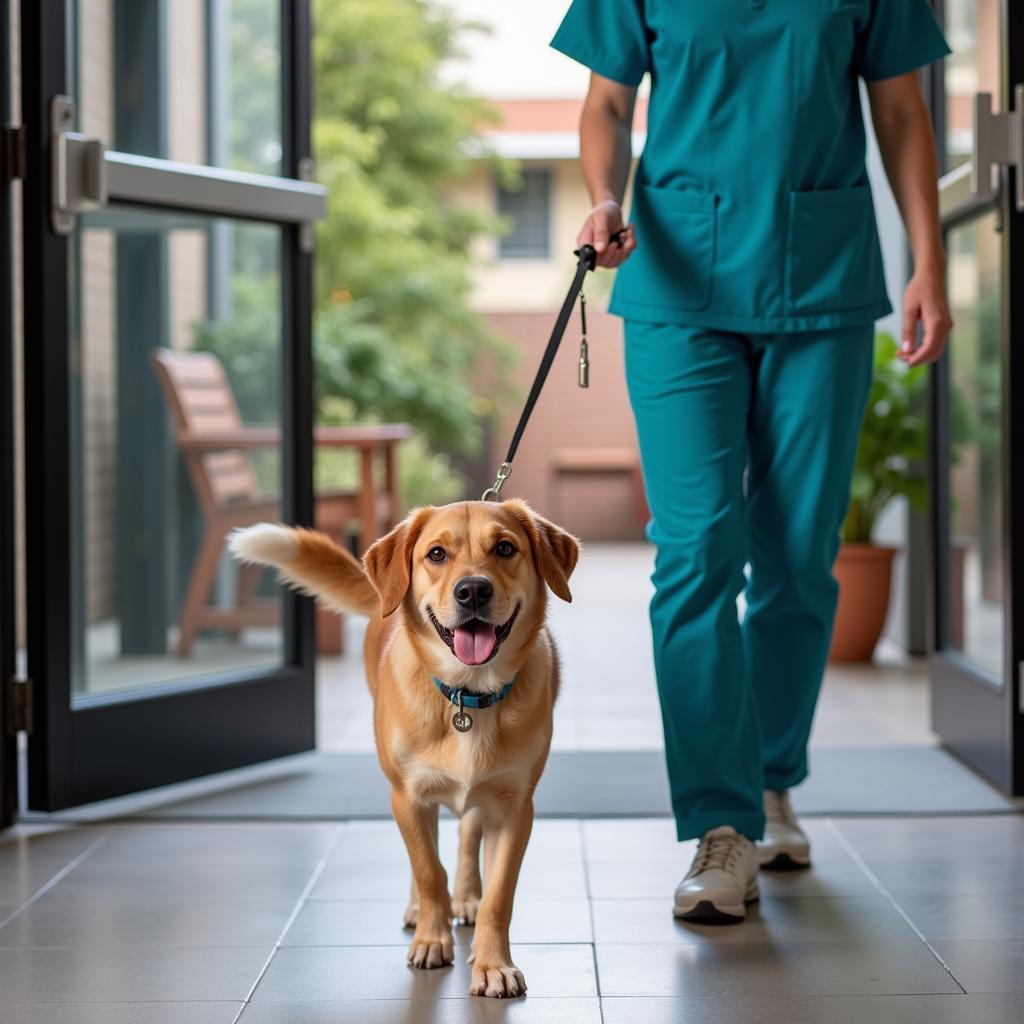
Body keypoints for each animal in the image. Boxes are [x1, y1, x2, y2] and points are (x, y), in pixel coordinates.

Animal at [228, 499, 577, 995]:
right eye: (436, 554)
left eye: (505, 548)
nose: (473, 591)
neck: (466, 695)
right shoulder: (408, 797)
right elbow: (428, 871)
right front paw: (433, 939)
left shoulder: (515, 807)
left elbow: (499, 894)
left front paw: (493, 963)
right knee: (425, 857)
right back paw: (423, 912)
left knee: (468, 834)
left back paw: (464, 897)